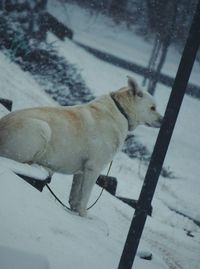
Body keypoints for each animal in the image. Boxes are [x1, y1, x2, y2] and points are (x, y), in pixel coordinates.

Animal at [0, 75, 162, 216]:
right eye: (153, 108)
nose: (163, 121)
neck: (121, 110)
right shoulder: (93, 168)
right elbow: (85, 196)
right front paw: (84, 215)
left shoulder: (81, 172)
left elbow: (75, 196)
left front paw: (74, 211)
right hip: (41, 128)